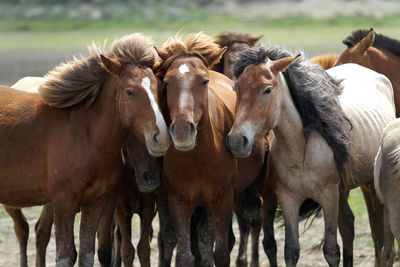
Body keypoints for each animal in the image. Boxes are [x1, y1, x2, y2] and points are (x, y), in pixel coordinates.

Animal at [0, 34, 170, 267]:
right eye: (129, 91)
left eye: (159, 89)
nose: (161, 137)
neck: (84, 135)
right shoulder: (63, 203)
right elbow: (65, 255)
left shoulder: (96, 204)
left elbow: (88, 254)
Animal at [154, 32, 268, 266]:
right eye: (167, 83)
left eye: (204, 81)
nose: (182, 130)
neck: (198, 158)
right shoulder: (177, 200)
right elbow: (185, 254)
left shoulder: (223, 199)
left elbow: (221, 252)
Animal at [227, 45, 396, 266]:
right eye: (236, 89)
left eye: (267, 89)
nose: (237, 140)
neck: (301, 150)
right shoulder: (288, 199)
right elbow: (291, 251)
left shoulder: (329, 196)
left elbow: (331, 250)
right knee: (349, 228)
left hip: (369, 187)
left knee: (379, 237)